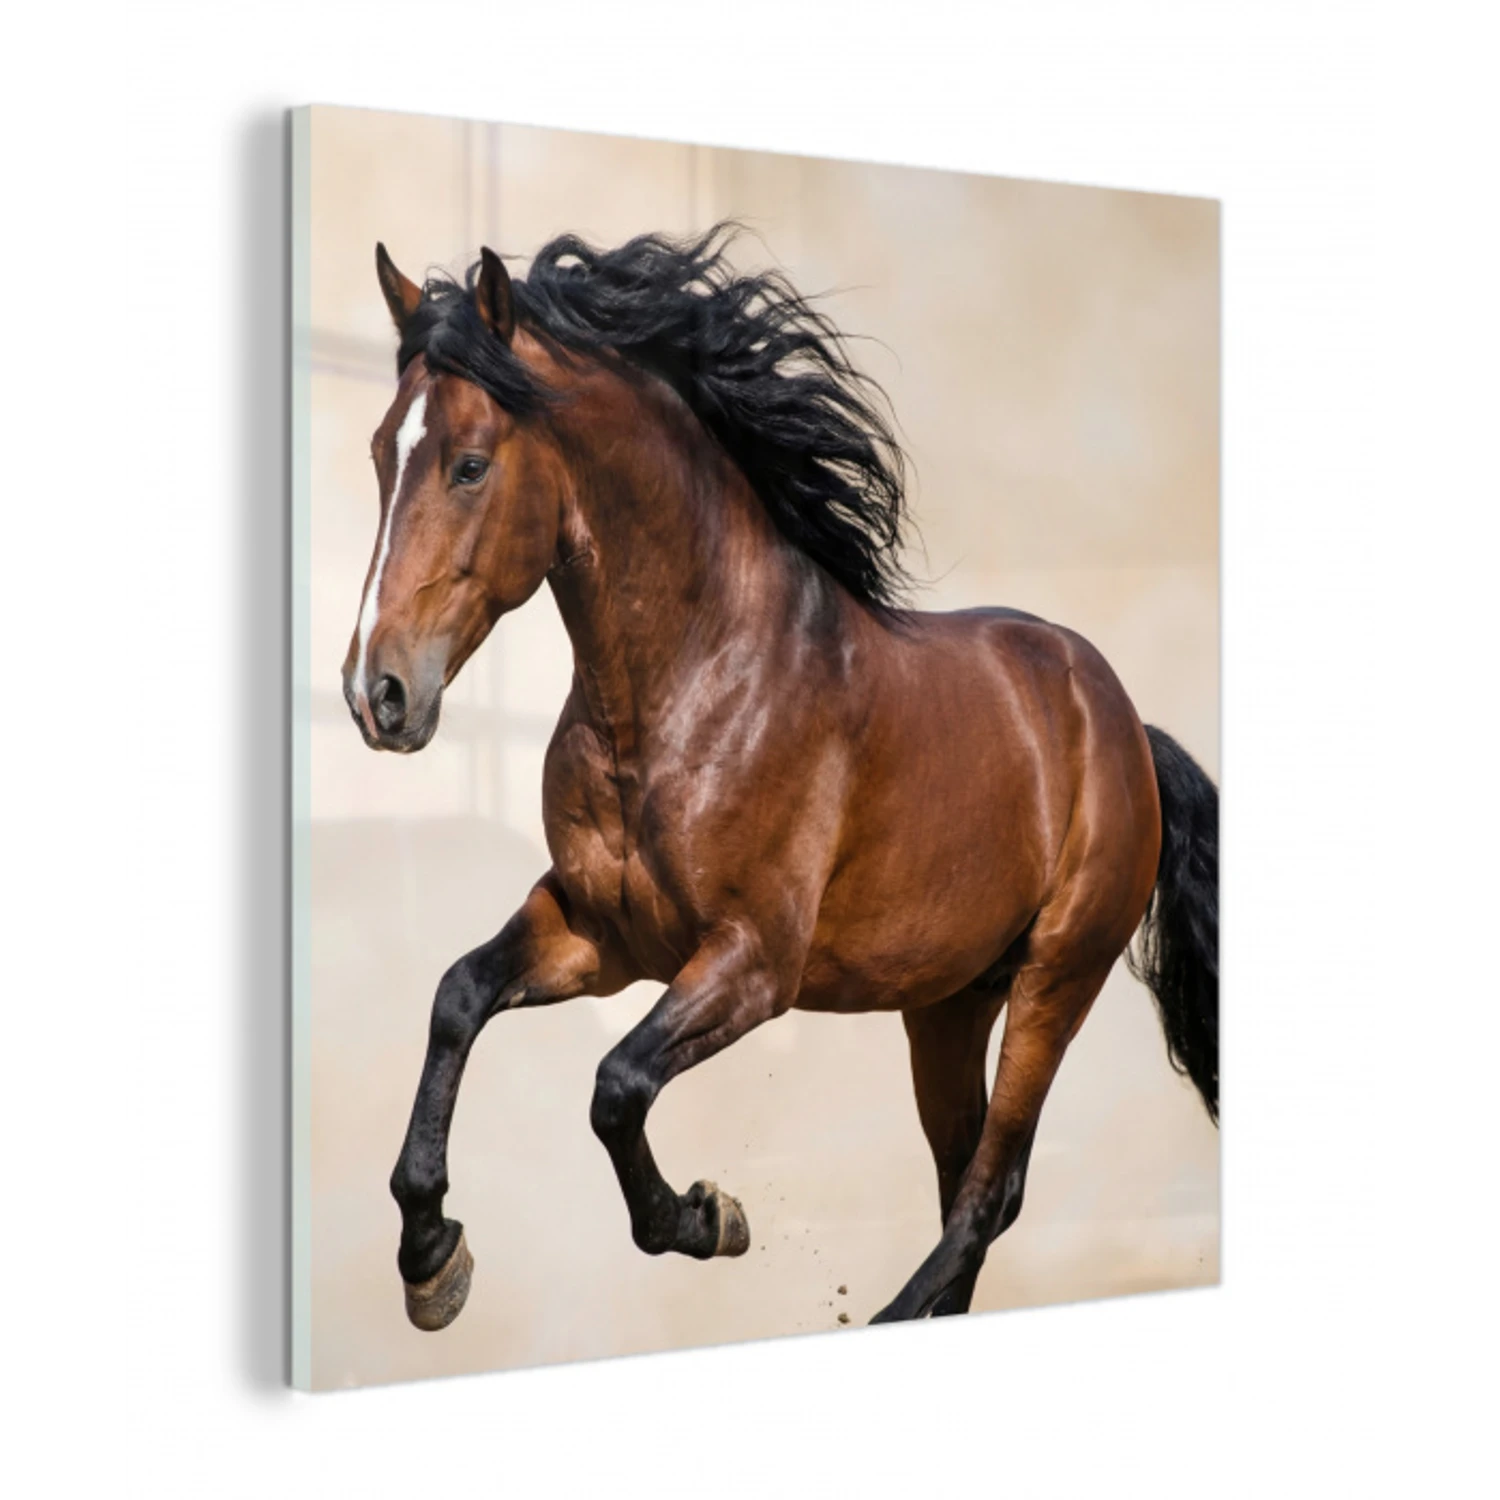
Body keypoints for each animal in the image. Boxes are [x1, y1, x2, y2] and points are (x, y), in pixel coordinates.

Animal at [341, 225, 1219, 1333]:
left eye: (468, 464)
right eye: (382, 453)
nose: (377, 694)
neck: (690, 685)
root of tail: (1124, 726)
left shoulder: (754, 962)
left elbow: (616, 1084)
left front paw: (709, 1217)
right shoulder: (600, 934)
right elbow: (458, 996)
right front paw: (431, 1259)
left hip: (1059, 976)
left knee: (992, 1192)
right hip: (949, 1003)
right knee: (964, 1183)